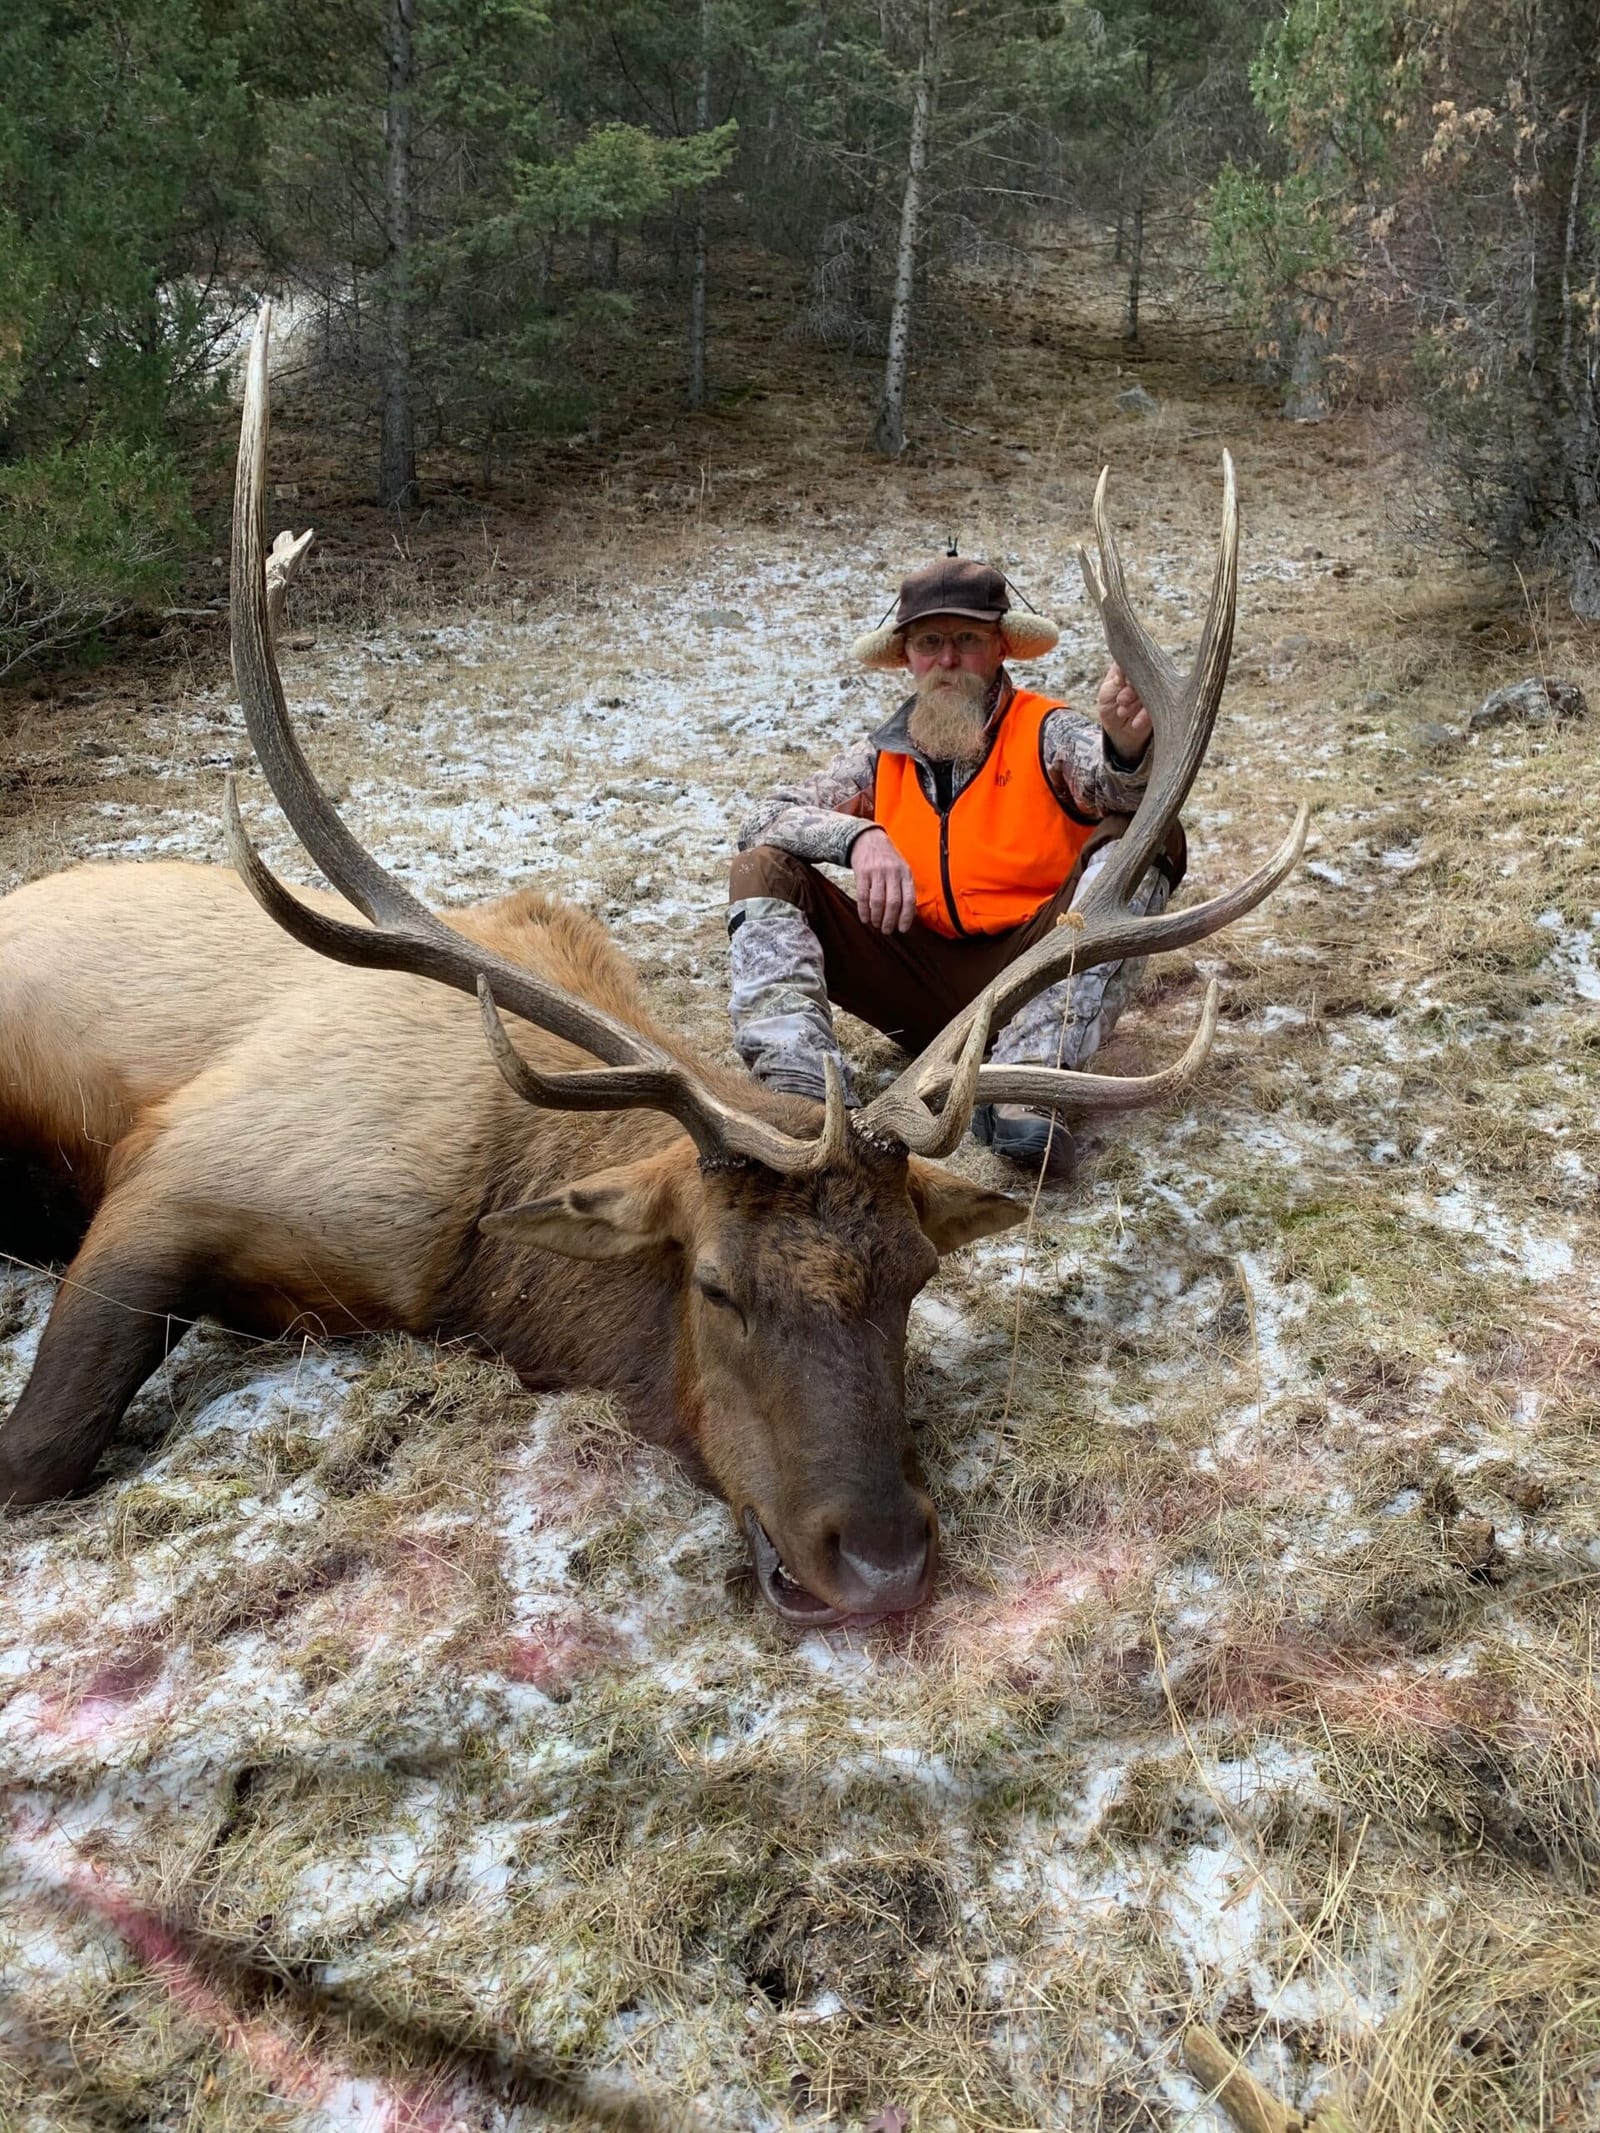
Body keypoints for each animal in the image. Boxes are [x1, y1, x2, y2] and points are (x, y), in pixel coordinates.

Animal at [0, 313, 1306, 1625]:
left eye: (916, 1276)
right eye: (716, 1287)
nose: (882, 1559)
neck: (472, 1263)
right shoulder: (179, 1180)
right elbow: (38, 1460)